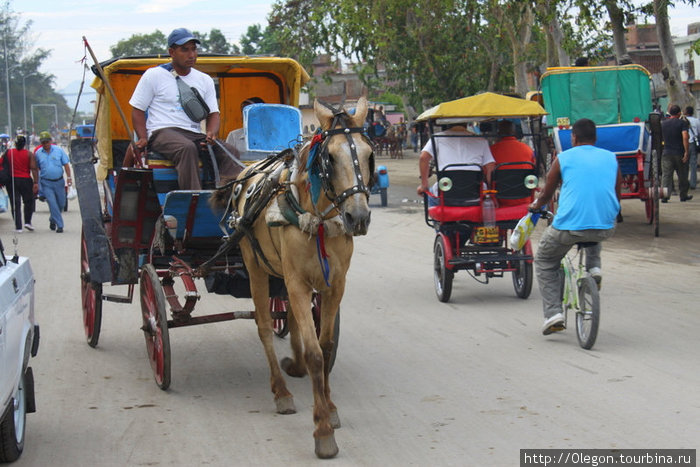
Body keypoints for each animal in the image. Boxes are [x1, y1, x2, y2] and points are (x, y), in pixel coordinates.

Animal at [211, 97, 374, 458]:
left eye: (369, 153)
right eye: (330, 157)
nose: (357, 217)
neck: (318, 221)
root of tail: (246, 171)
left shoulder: (334, 285)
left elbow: (324, 347)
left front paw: (330, 407)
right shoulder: (298, 282)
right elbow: (314, 353)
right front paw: (323, 430)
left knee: (291, 321)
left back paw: (294, 367)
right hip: (255, 265)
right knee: (263, 327)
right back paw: (281, 391)